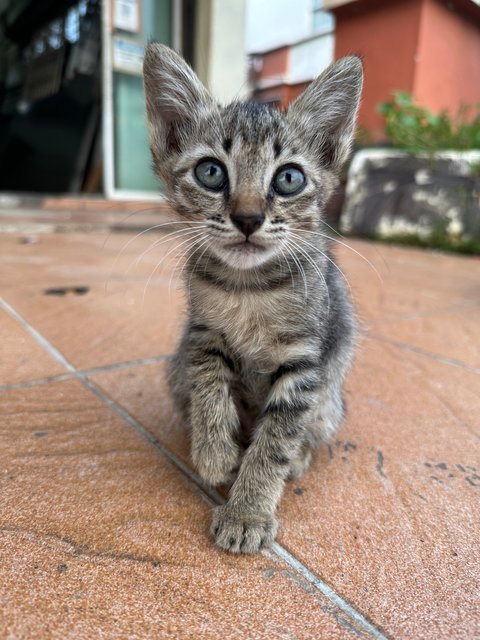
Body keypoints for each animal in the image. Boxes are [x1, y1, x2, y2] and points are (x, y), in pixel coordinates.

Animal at [142, 45, 364, 552]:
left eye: (288, 179)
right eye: (210, 172)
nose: (247, 218)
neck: (249, 290)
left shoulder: (304, 363)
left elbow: (275, 440)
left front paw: (248, 511)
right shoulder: (202, 335)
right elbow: (209, 387)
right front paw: (213, 452)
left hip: (331, 399)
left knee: (310, 428)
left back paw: (298, 458)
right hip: (175, 370)